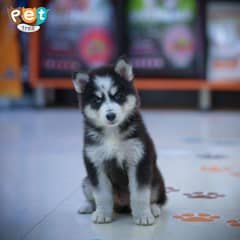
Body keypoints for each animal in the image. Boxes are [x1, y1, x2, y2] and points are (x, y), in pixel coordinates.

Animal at [72, 58, 167, 225]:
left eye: (118, 96)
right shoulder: (95, 162)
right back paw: (88, 206)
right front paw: (102, 214)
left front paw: (143, 215)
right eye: (97, 100)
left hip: (156, 180)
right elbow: (102, 194)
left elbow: (140, 194)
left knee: (157, 199)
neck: (112, 133)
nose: (110, 115)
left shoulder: (139, 159)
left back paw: (154, 209)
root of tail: (122, 204)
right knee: (93, 196)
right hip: (87, 181)